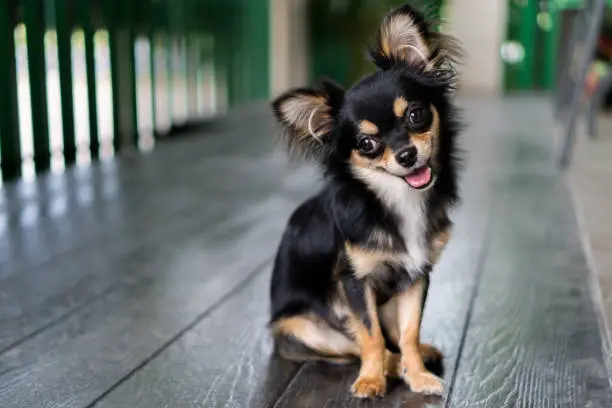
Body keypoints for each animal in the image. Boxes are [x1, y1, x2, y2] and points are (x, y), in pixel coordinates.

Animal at [268, 2, 464, 398]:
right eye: (367, 144)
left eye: (417, 115)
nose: (406, 154)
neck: (398, 198)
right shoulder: (355, 282)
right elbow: (370, 336)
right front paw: (372, 379)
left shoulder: (416, 275)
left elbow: (408, 331)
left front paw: (417, 374)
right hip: (302, 328)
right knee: (356, 344)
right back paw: (388, 366)